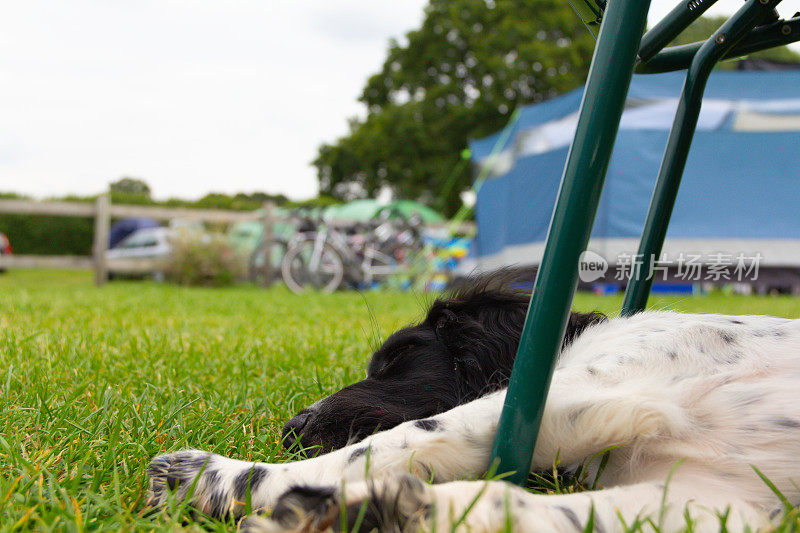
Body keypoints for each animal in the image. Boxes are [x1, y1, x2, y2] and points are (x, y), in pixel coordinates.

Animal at [147, 270, 800, 532]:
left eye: (398, 361)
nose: (292, 427)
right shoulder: (713, 498)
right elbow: (528, 506)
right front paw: (377, 509)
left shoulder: (595, 386)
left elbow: (397, 440)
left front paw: (210, 477)